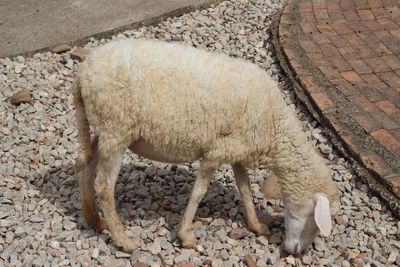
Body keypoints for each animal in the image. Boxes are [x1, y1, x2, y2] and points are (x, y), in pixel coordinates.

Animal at [72, 38, 340, 256]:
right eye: (313, 220)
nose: (297, 252)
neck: (274, 128)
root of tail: (83, 72)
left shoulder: (237, 150)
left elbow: (245, 189)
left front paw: (256, 225)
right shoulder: (215, 152)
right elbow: (199, 193)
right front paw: (186, 235)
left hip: (105, 128)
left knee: (85, 163)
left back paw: (93, 219)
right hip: (116, 127)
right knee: (104, 186)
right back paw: (122, 240)